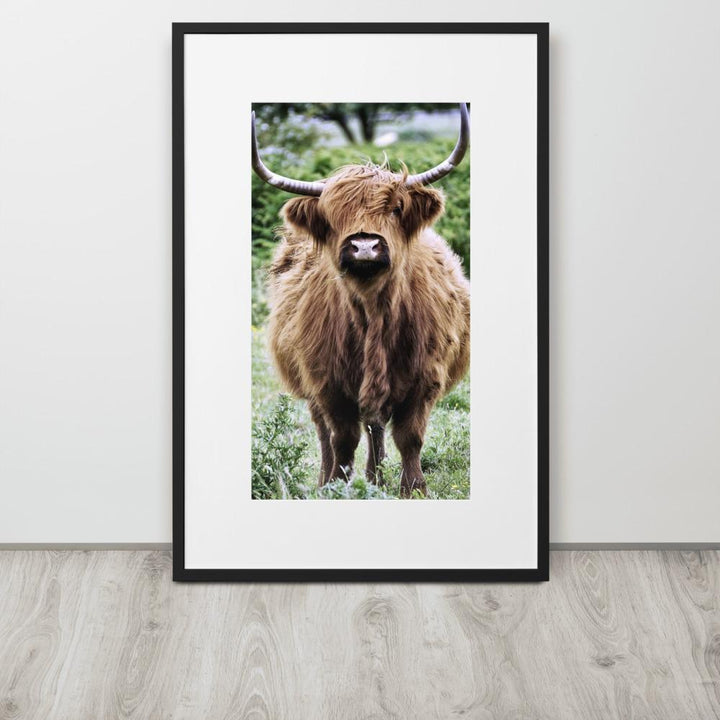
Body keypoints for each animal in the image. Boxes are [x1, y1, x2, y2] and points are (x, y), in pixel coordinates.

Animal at [252, 104, 470, 498]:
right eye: (332, 215)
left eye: (396, 208)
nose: (365, 245)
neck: (373, 313)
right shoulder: (326, 382)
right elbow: (342, 437)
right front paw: (337, 485)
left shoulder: (425, 378)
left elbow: (409, 436)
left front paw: (413, 489)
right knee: (328, 432)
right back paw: (331, 480)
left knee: (376, 425)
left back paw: (375, 477)